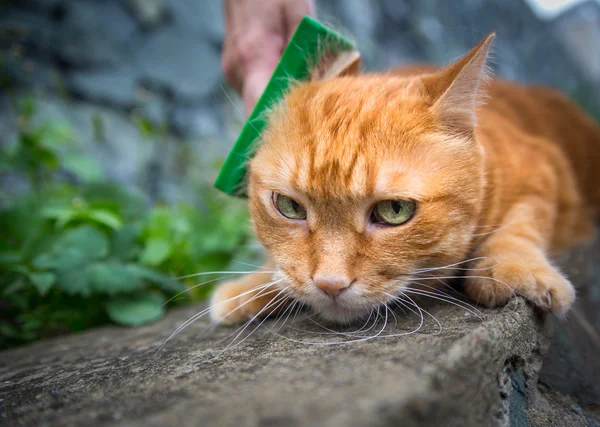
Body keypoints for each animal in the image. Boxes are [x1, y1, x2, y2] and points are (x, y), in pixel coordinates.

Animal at [210, 33, 600, 326]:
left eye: (394, 210)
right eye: (289, 207)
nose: (329, 284)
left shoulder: (544, 167)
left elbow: (519, 225)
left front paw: (515, 269)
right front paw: (254, 285)